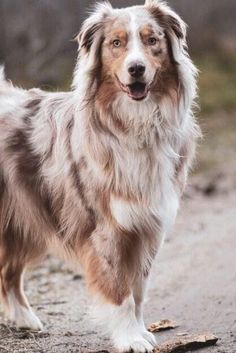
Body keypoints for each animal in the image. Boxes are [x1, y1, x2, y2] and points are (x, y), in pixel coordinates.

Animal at [0, 0, 199, 350]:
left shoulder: (147, 226)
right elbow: (119, 290)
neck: (136, 124)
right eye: (116, 43)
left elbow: (137, 291)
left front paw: (140, 331)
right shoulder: (107, 229)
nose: (136, 69)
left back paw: (24, 318)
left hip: (25, 217)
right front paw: (130, 338)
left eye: (152, 40)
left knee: (9, 270)